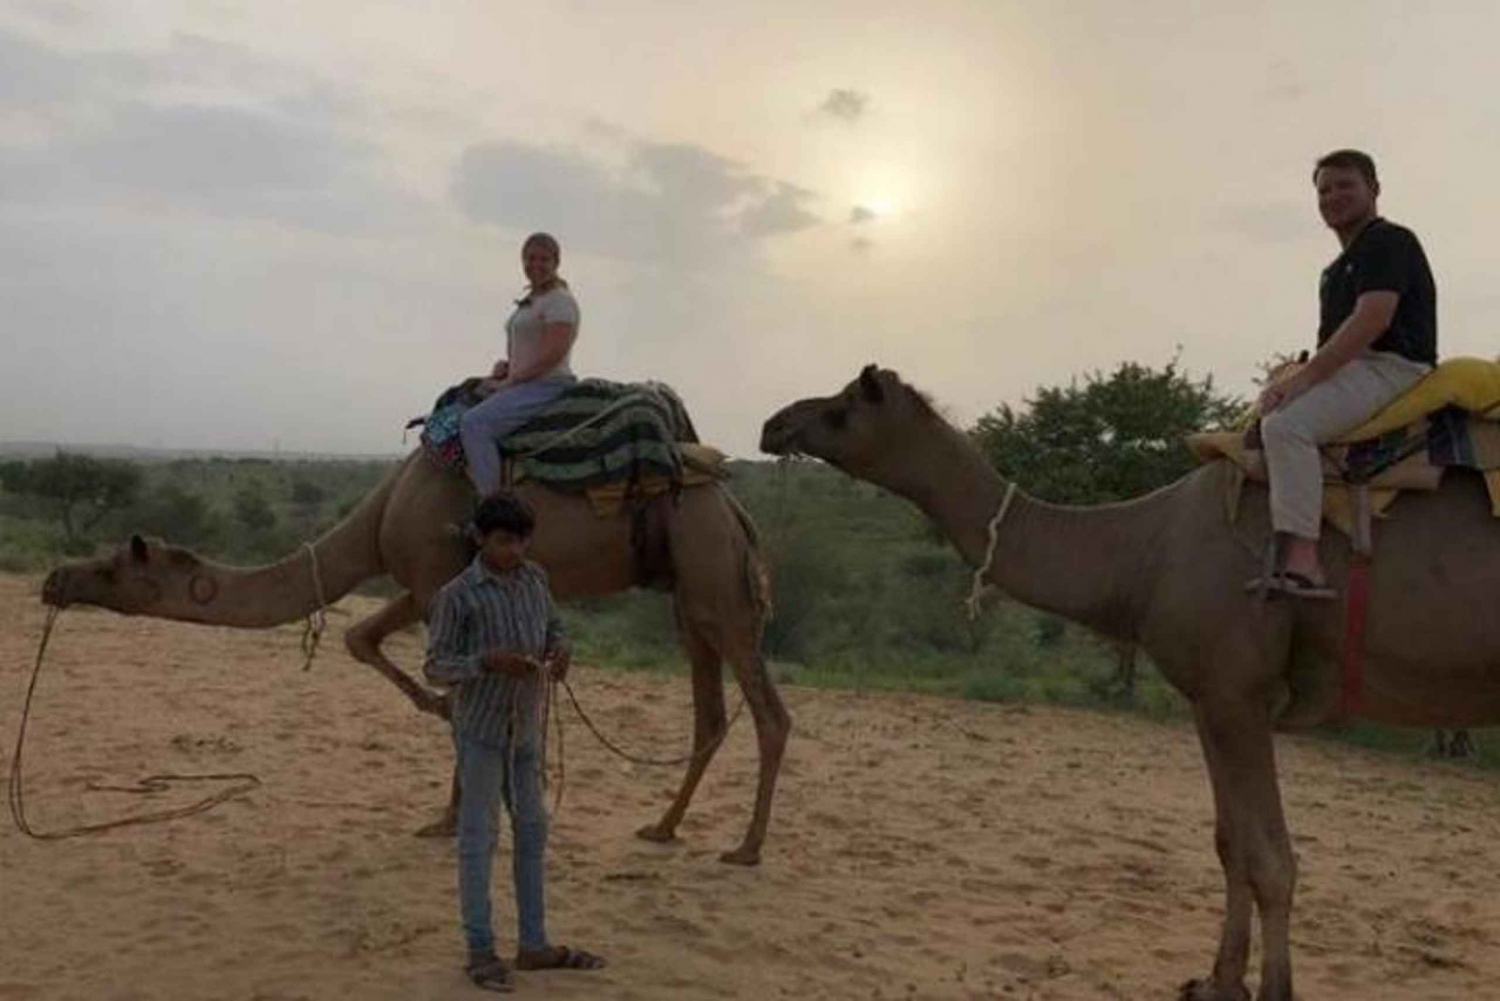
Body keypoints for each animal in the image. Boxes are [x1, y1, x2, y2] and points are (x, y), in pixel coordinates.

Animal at [39, 449, 789, 865]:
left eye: (111, 569)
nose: (55, 580)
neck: (378, 515)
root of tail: (735, 507)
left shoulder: (432, 576)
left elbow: (458, 690)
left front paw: (451, 819)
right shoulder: (423, 583)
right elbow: (361, 639)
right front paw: (444, 754)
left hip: (713, 573)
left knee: (769, 713)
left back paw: (747, 848)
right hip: (689, 594)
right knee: (710, 711)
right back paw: (662, 827)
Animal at [761, 364, 1500, 1001]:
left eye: (842, 405)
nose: (775, 423)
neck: (1144, 551)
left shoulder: (1240, 687)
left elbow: (1272, 859)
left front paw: (1273, 990)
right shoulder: (1212, 696)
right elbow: (1230, 843)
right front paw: (1217, 982)